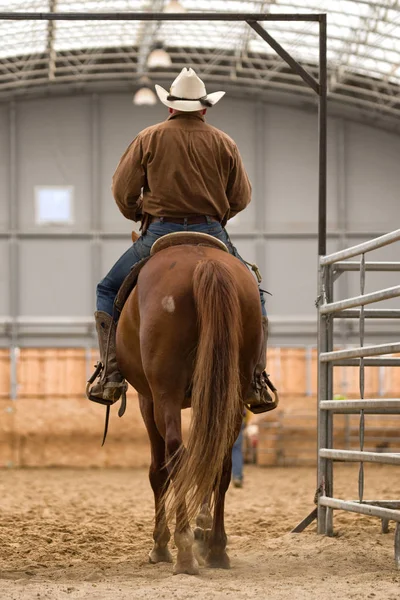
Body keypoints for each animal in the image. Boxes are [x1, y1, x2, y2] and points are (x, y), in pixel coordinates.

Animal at [115, 244, 260, 576]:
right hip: (232, 389)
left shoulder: (147, 399)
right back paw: (217, 548)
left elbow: (158, 471)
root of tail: (205, 262)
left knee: (176, 459)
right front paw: (202, 532)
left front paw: (161, 544)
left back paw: (183, 551)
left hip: (164, 393)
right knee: (220, 462)